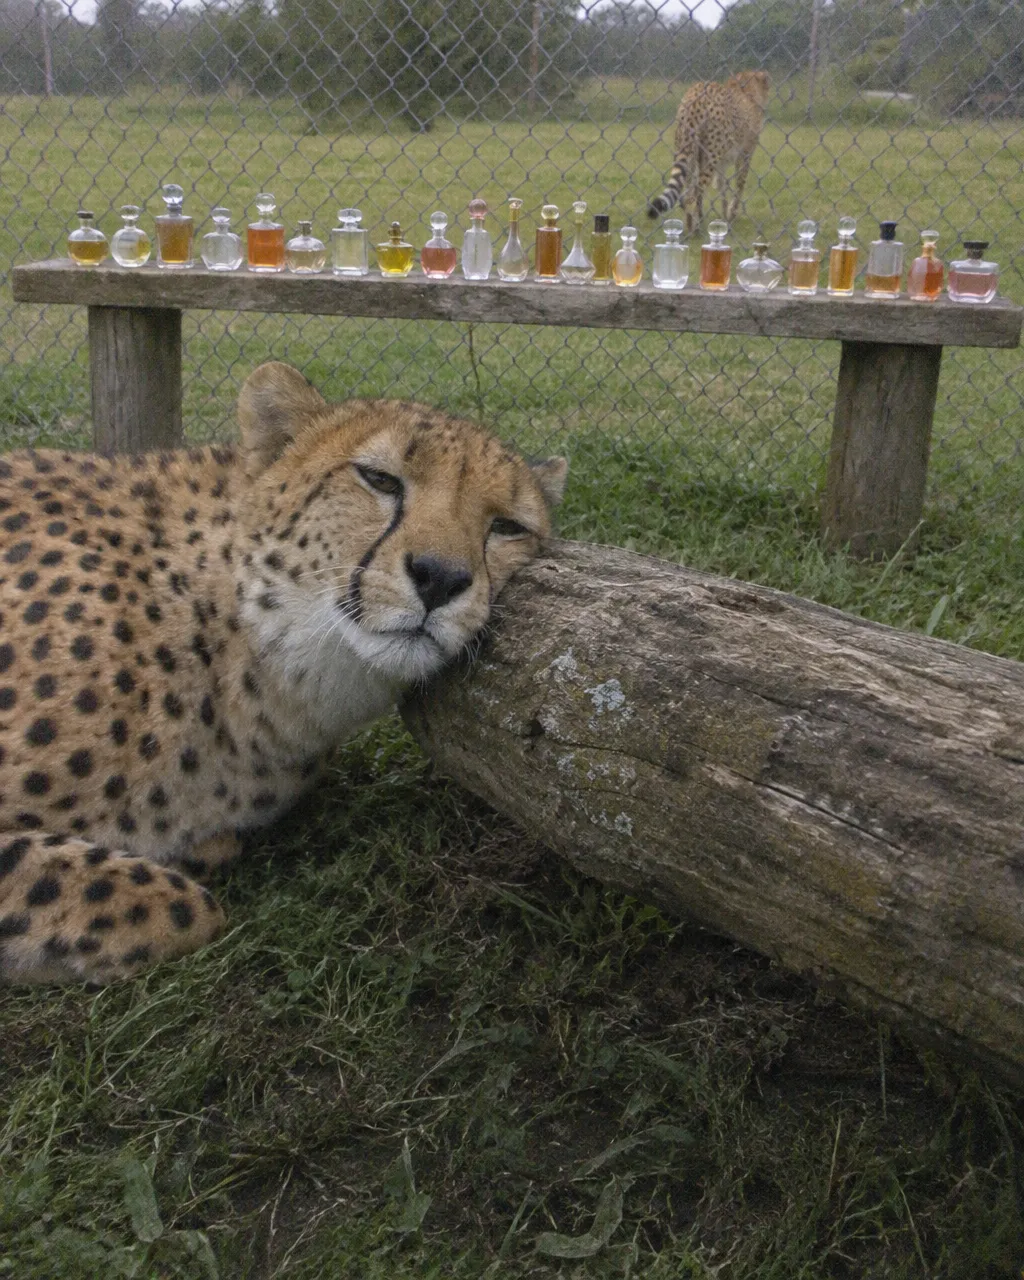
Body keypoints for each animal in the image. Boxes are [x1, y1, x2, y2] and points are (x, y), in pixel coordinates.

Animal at [647, 70, 771, 235]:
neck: (746, 91)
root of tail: (697, 94)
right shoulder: (745, 153)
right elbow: (740, 183)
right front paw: (732, 213)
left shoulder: (719, 161)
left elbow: (721, 186)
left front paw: (725, 216)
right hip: (710, 157)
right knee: (694, 195)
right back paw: (694, 230)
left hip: (690, 154)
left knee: (688, 192)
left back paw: (693, 223)